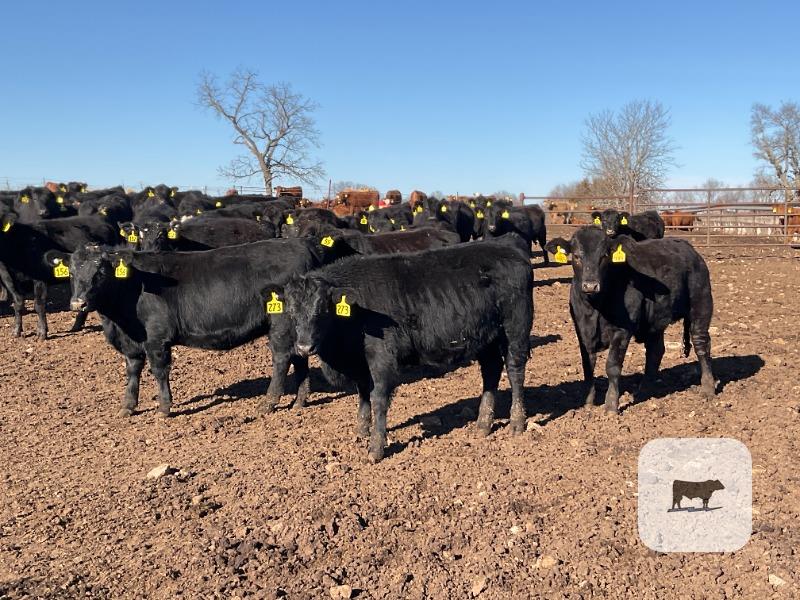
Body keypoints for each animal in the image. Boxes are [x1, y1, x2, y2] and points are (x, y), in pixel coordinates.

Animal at [51, 237, 351, 418]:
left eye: (100, 273)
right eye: (71, 272)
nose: (78, 303)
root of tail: (301, 244)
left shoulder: (156, 338)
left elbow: (159, 371)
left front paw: (164, 408)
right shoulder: (132, 343)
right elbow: (132, 372)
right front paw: (128, 407)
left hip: (281, 324)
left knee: (281, 360)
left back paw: (268, 403)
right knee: (299, 357)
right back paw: (300, 401)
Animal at [274, 235, 534, 462]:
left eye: (322, 309)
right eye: (291, 311)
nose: (304, 346)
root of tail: (507, 245)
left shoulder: (382, 359)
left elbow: (378, 398)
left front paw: (375, 448)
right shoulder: (360, 364)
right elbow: (362, 394)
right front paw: (361, 430)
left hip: (516, 328)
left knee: (515, 370)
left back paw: (517, 422)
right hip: (485, 337)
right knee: (491, 371)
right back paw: (483, 424)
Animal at [545, 227, 716, 413]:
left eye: (604, 256)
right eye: (576, 256)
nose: (591, 285)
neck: (594, 308)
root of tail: (691, 251)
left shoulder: (622, 331)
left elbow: (612, 366)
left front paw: (611, 406)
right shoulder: (581, 330)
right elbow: (587, 365)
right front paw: (588, 403)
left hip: (701, 307)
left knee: (701, 345)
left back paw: (708, 388)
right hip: (655, 321)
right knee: (655, 351)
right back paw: (645, 390)